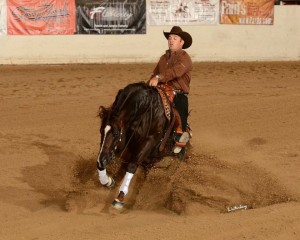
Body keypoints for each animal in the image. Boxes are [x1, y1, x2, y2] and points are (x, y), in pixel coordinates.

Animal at [96, 81, 171, 209]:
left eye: (116, 133)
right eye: (101, 131)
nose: (102, 159)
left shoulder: (149, 141)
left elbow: (132, 166)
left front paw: (120, 196)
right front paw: (108, 181)